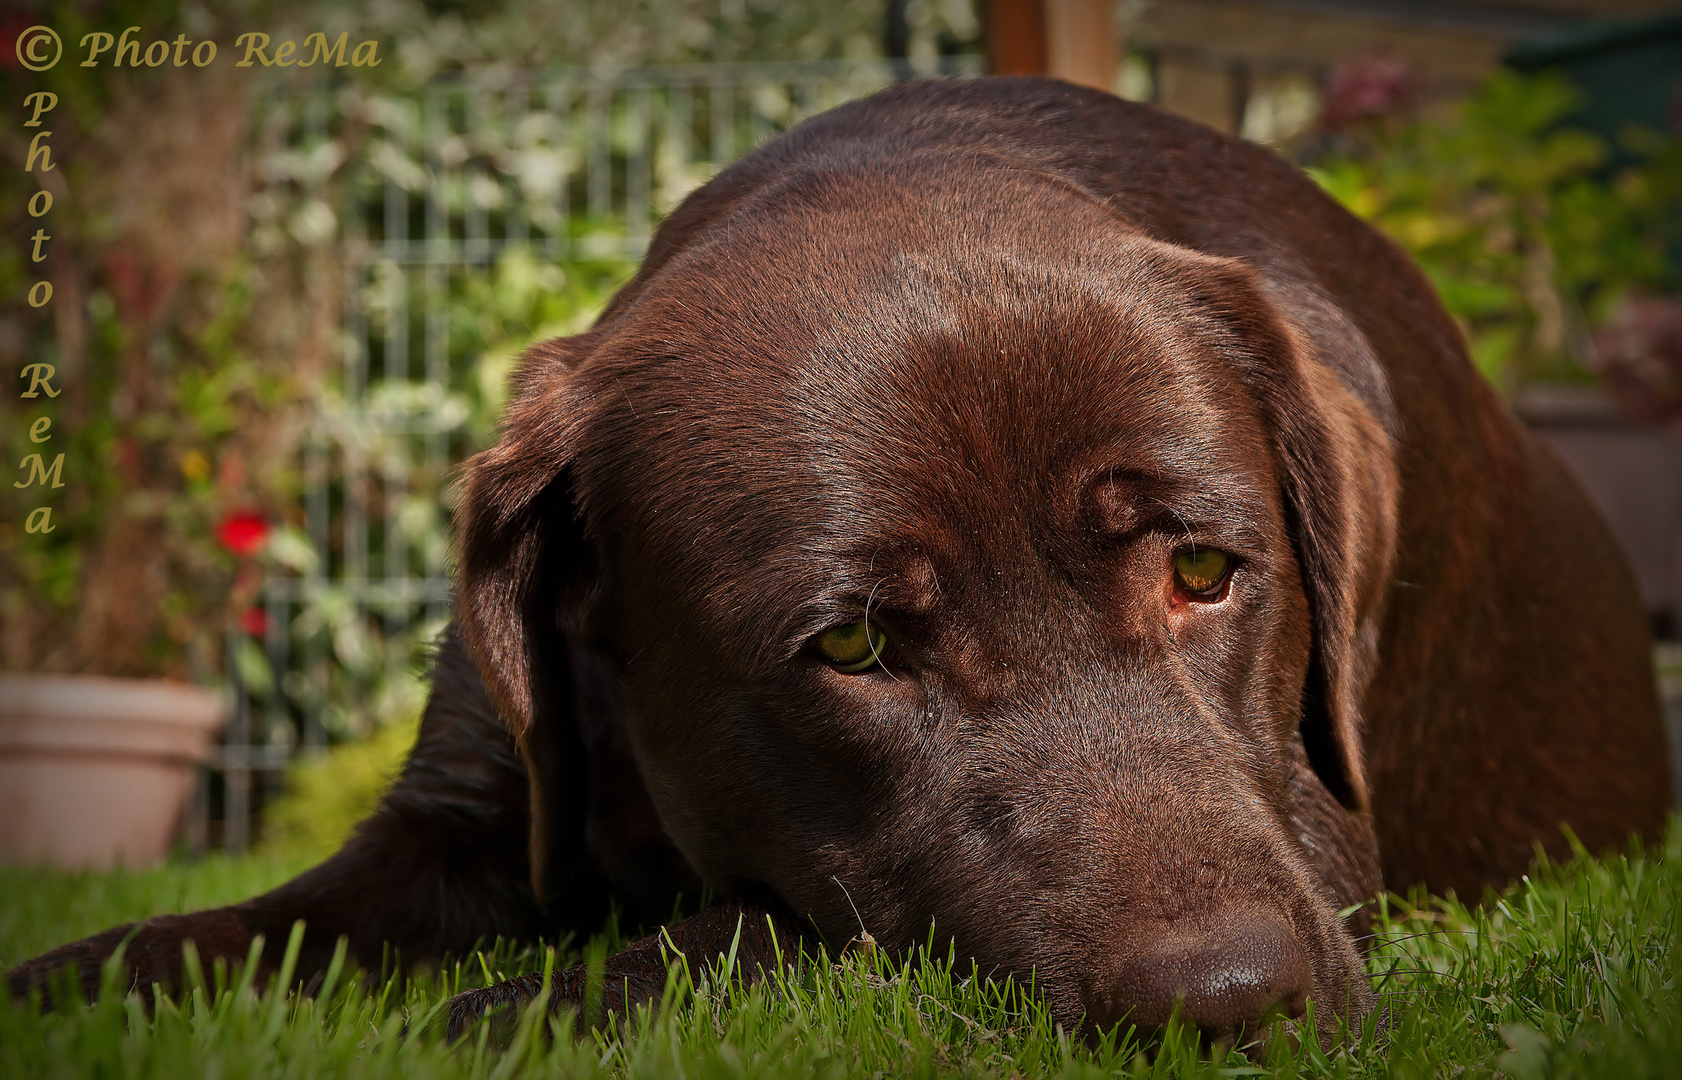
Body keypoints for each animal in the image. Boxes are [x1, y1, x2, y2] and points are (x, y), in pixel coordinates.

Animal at [9, 77, 1668, 1042]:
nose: (1227, 1009)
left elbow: (745, 932)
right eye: (854, 648)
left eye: (1204, 573)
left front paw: (495, 1010)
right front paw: (65, 990)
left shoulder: (1319, 832)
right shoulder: (459, 817)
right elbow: (227, 932)